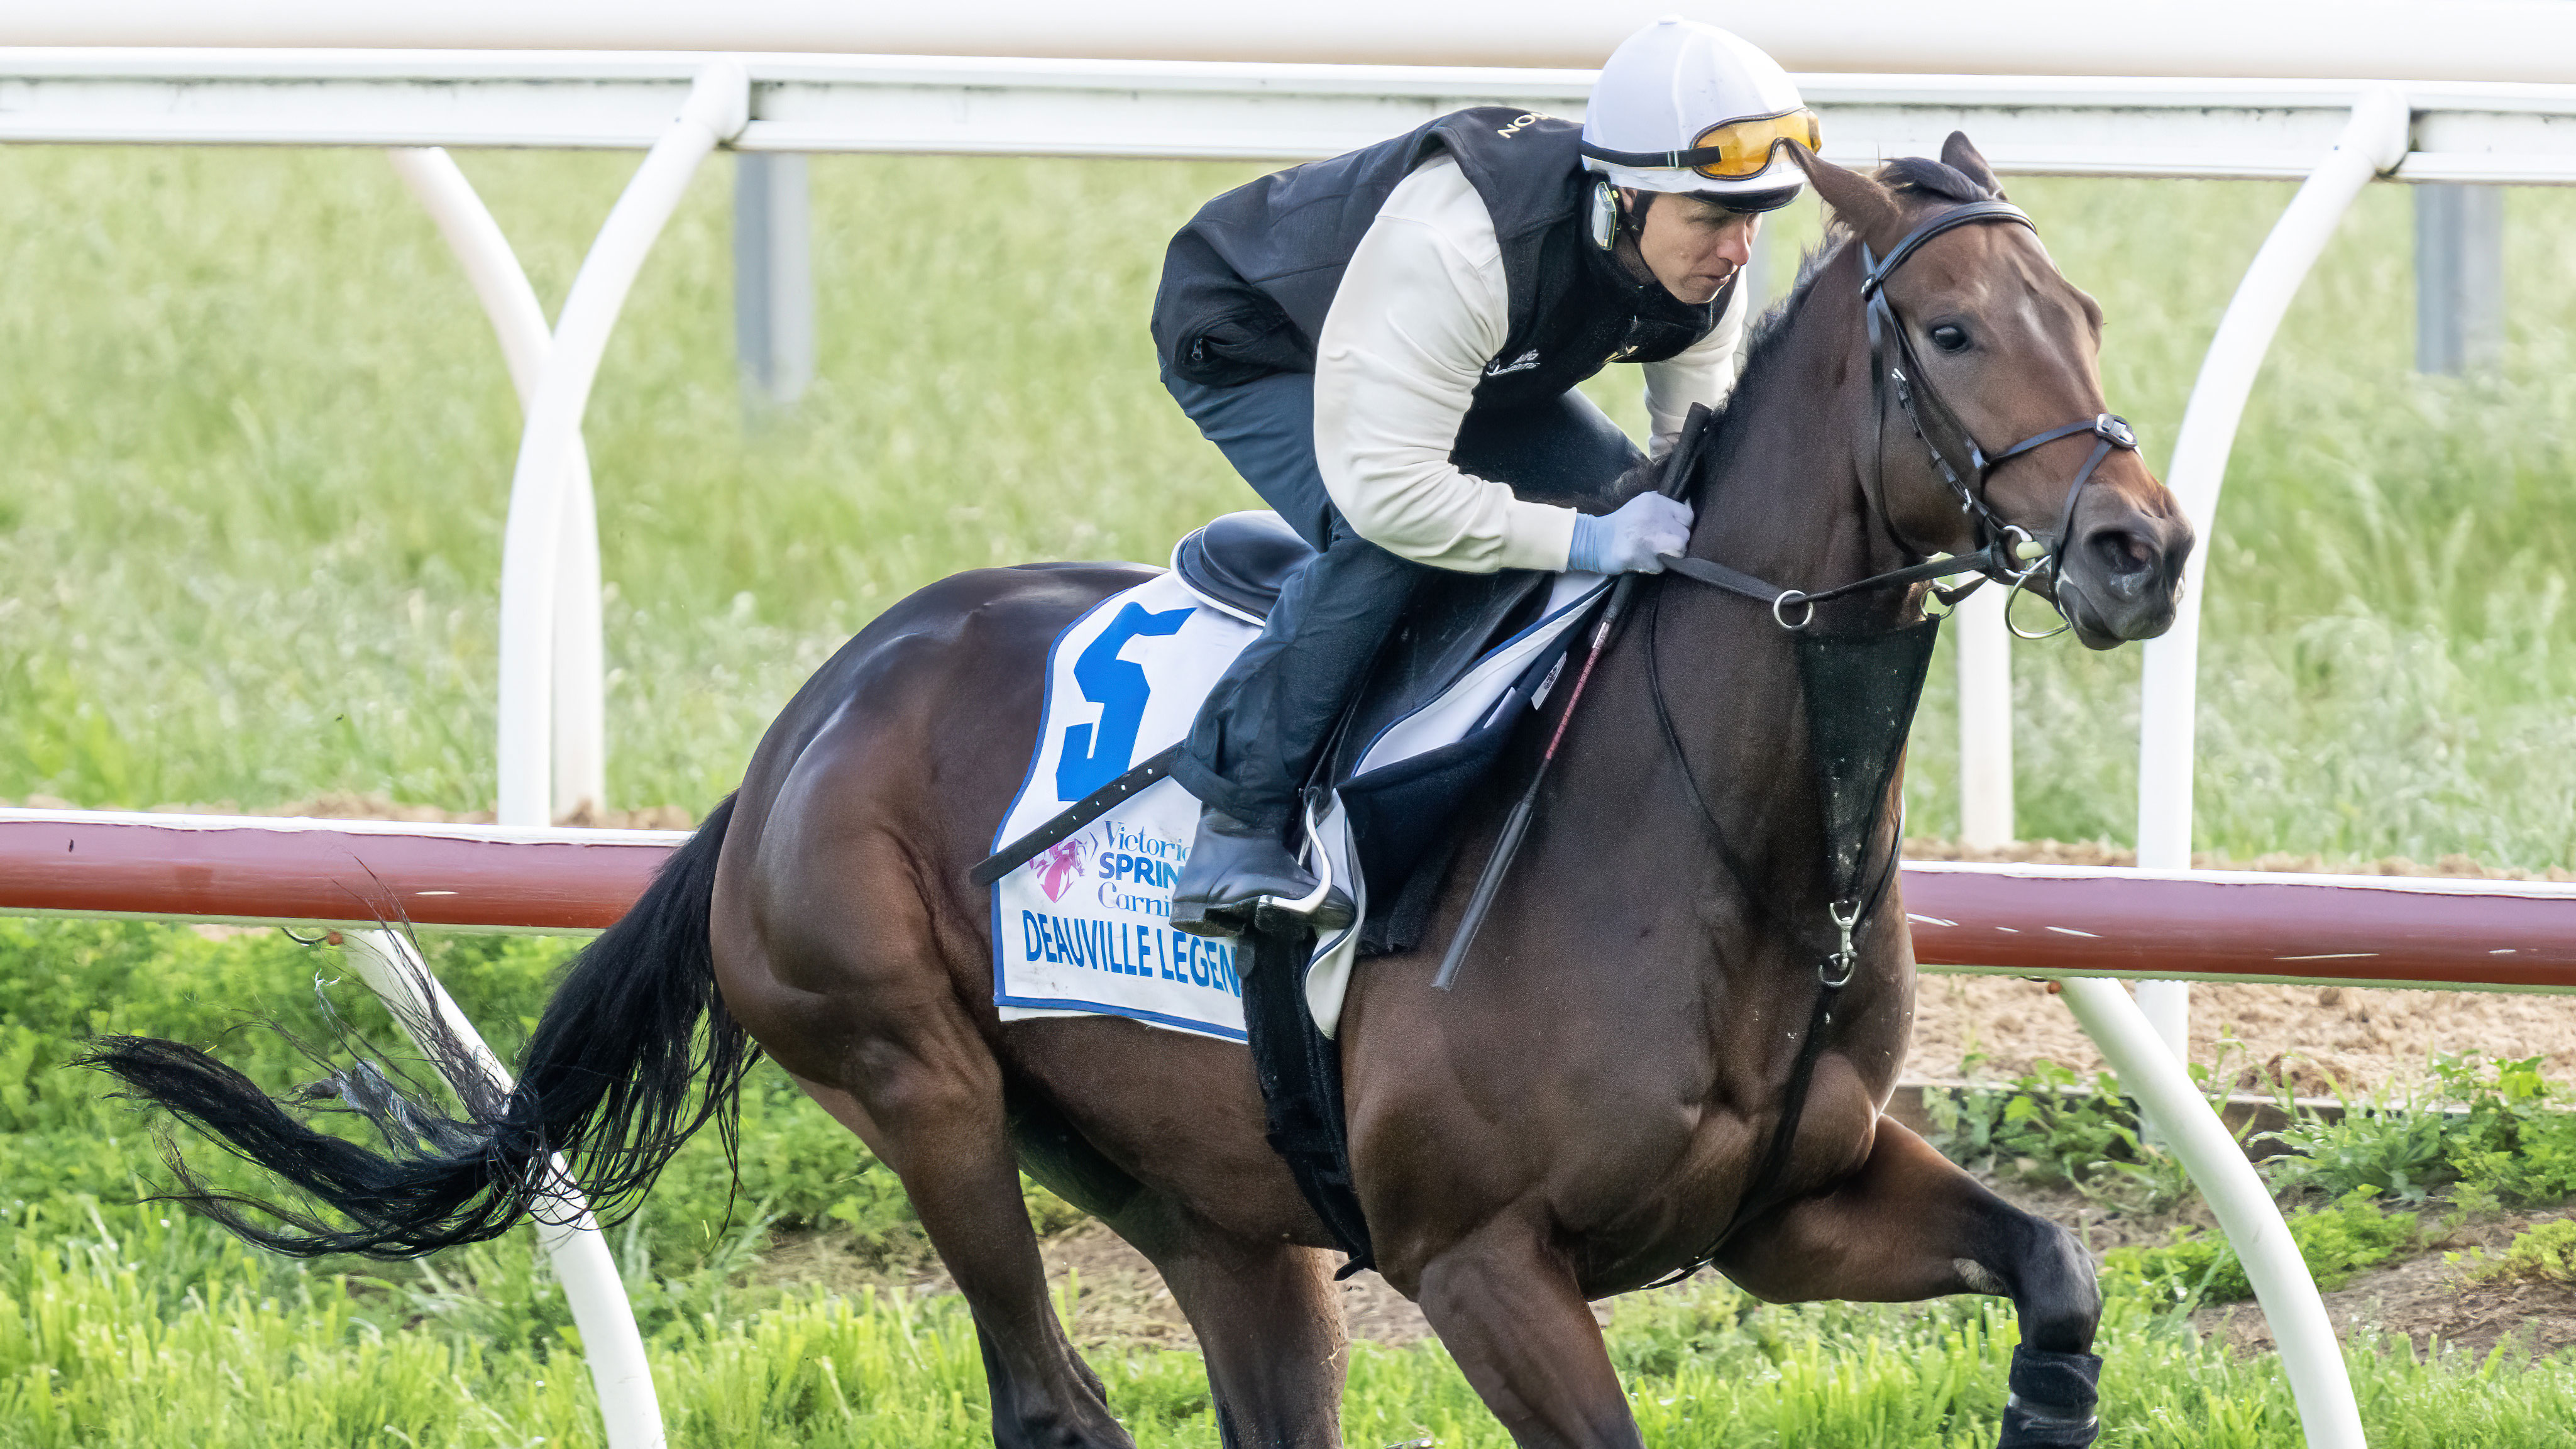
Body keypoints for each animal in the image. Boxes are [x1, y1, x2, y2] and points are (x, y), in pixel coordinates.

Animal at [95, 129, 2174, 1433]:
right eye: (1954, 330)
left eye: (2089, 314)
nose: (2141, 549)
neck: (1713, 839)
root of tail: (802, 730)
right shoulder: (1481, 1261)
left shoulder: (1787, 1206)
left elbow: (2057, 1271)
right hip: (916, 1081)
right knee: (1046, 1396)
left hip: (1211, 1211)